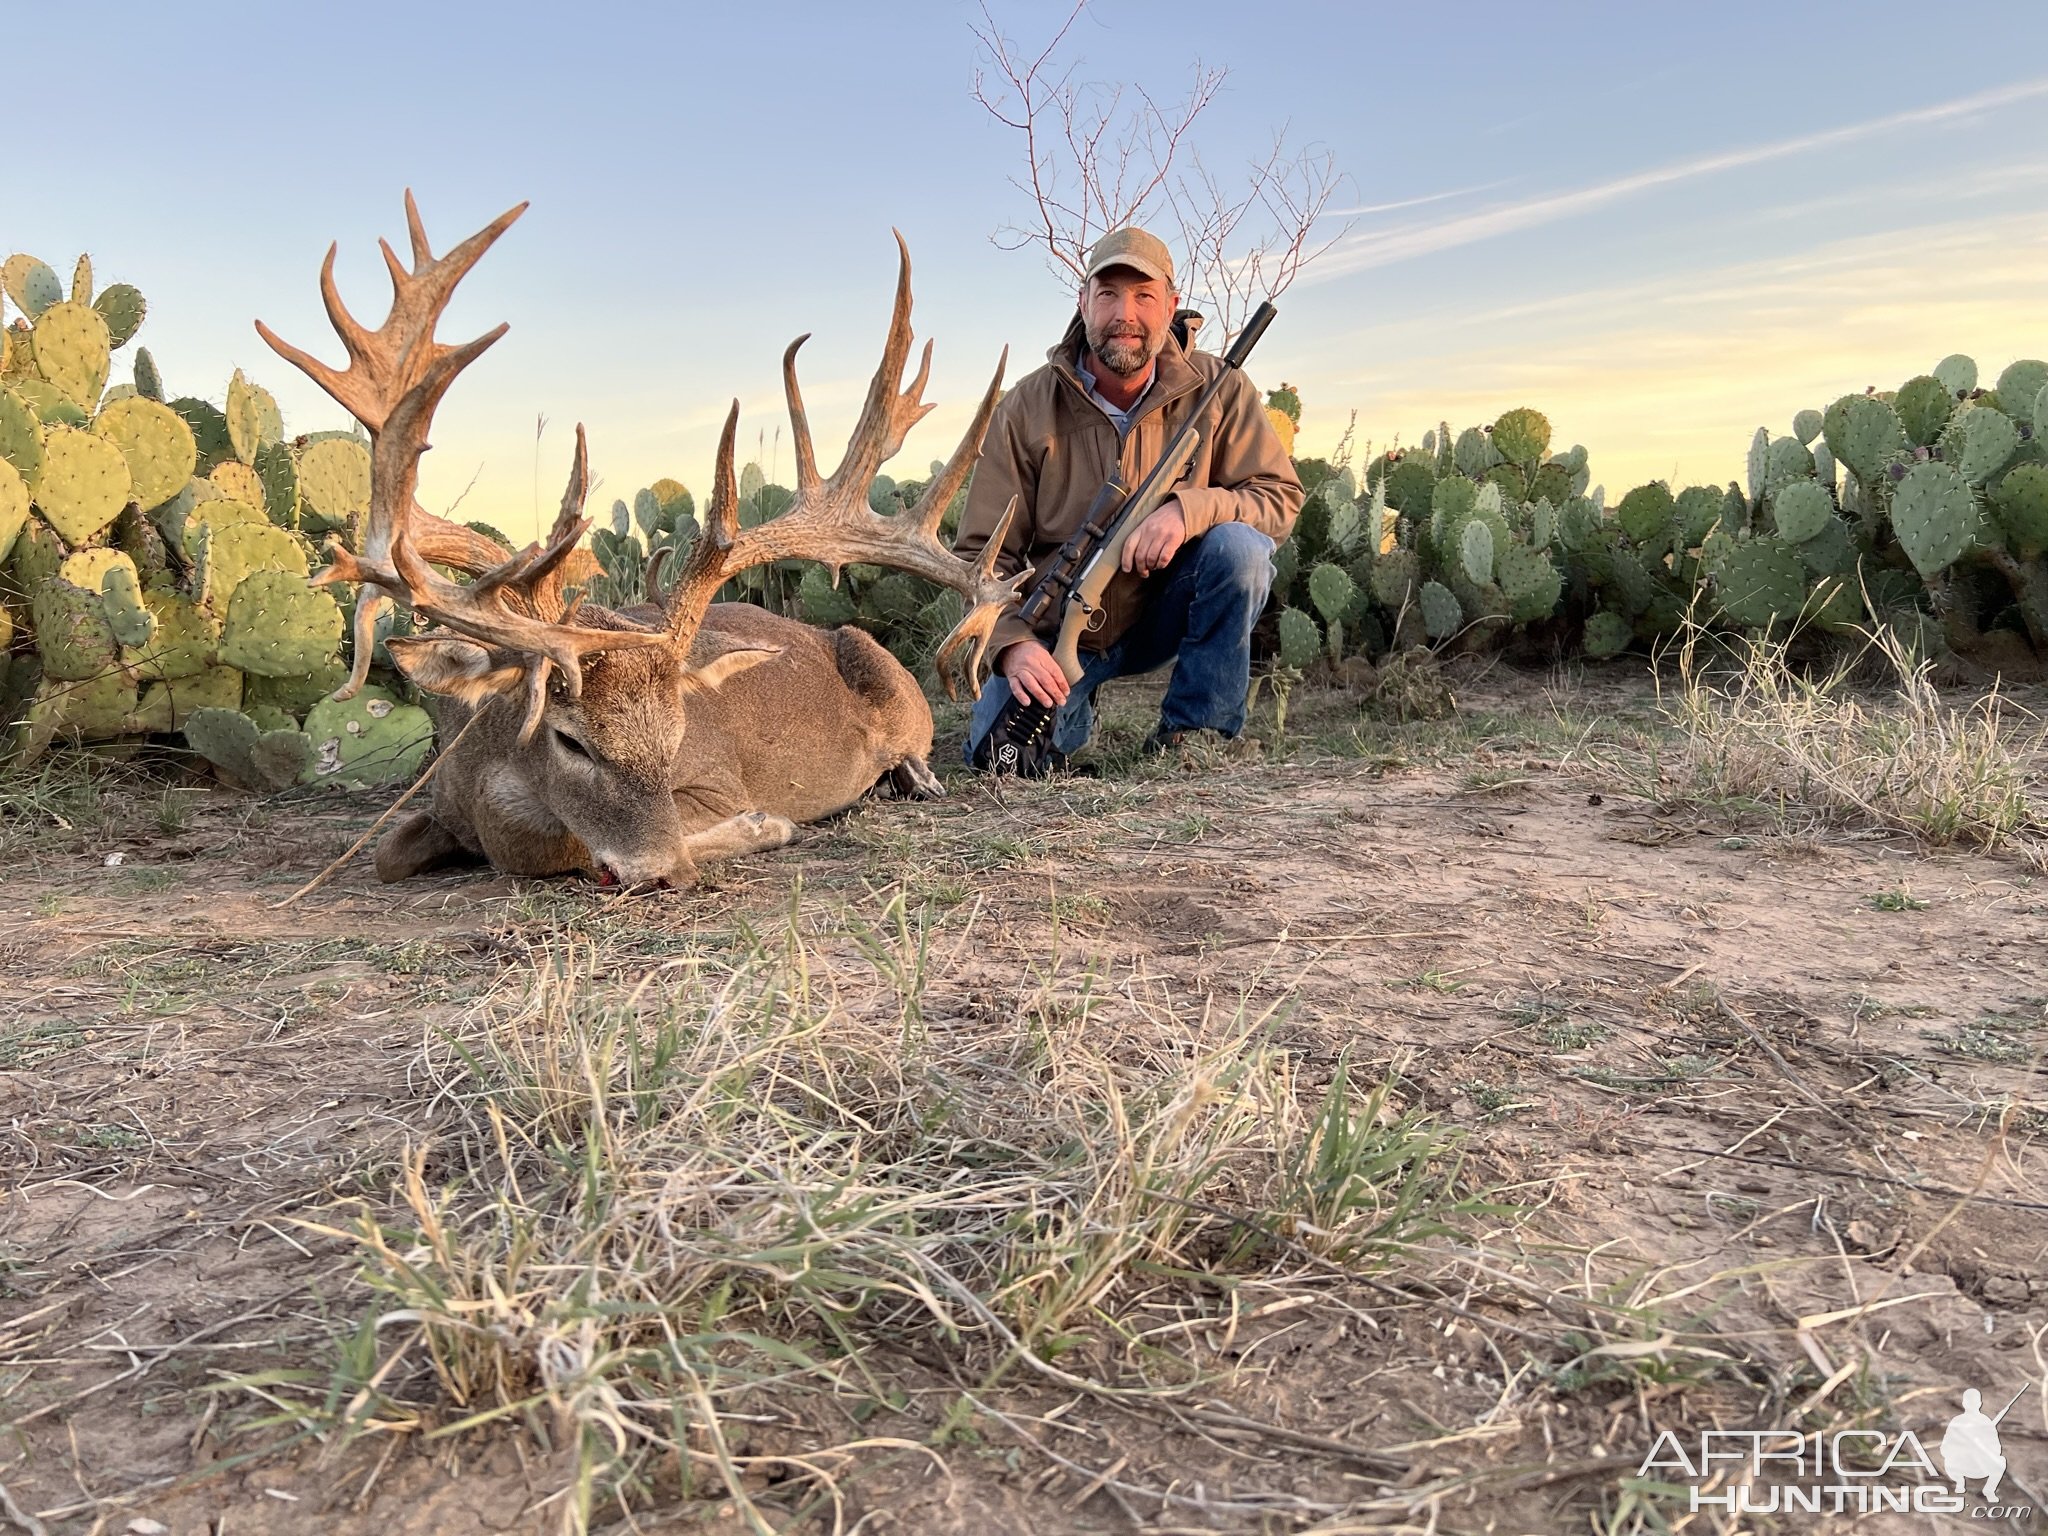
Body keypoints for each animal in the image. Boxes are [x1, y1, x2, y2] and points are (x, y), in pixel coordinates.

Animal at [256, 196, 1024, 884]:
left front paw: (763, 824)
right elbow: (389, 854)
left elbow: (585, 845)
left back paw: (910, 778)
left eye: (677, 738)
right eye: (570, 738)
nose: (666, 873)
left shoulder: (711, 784)